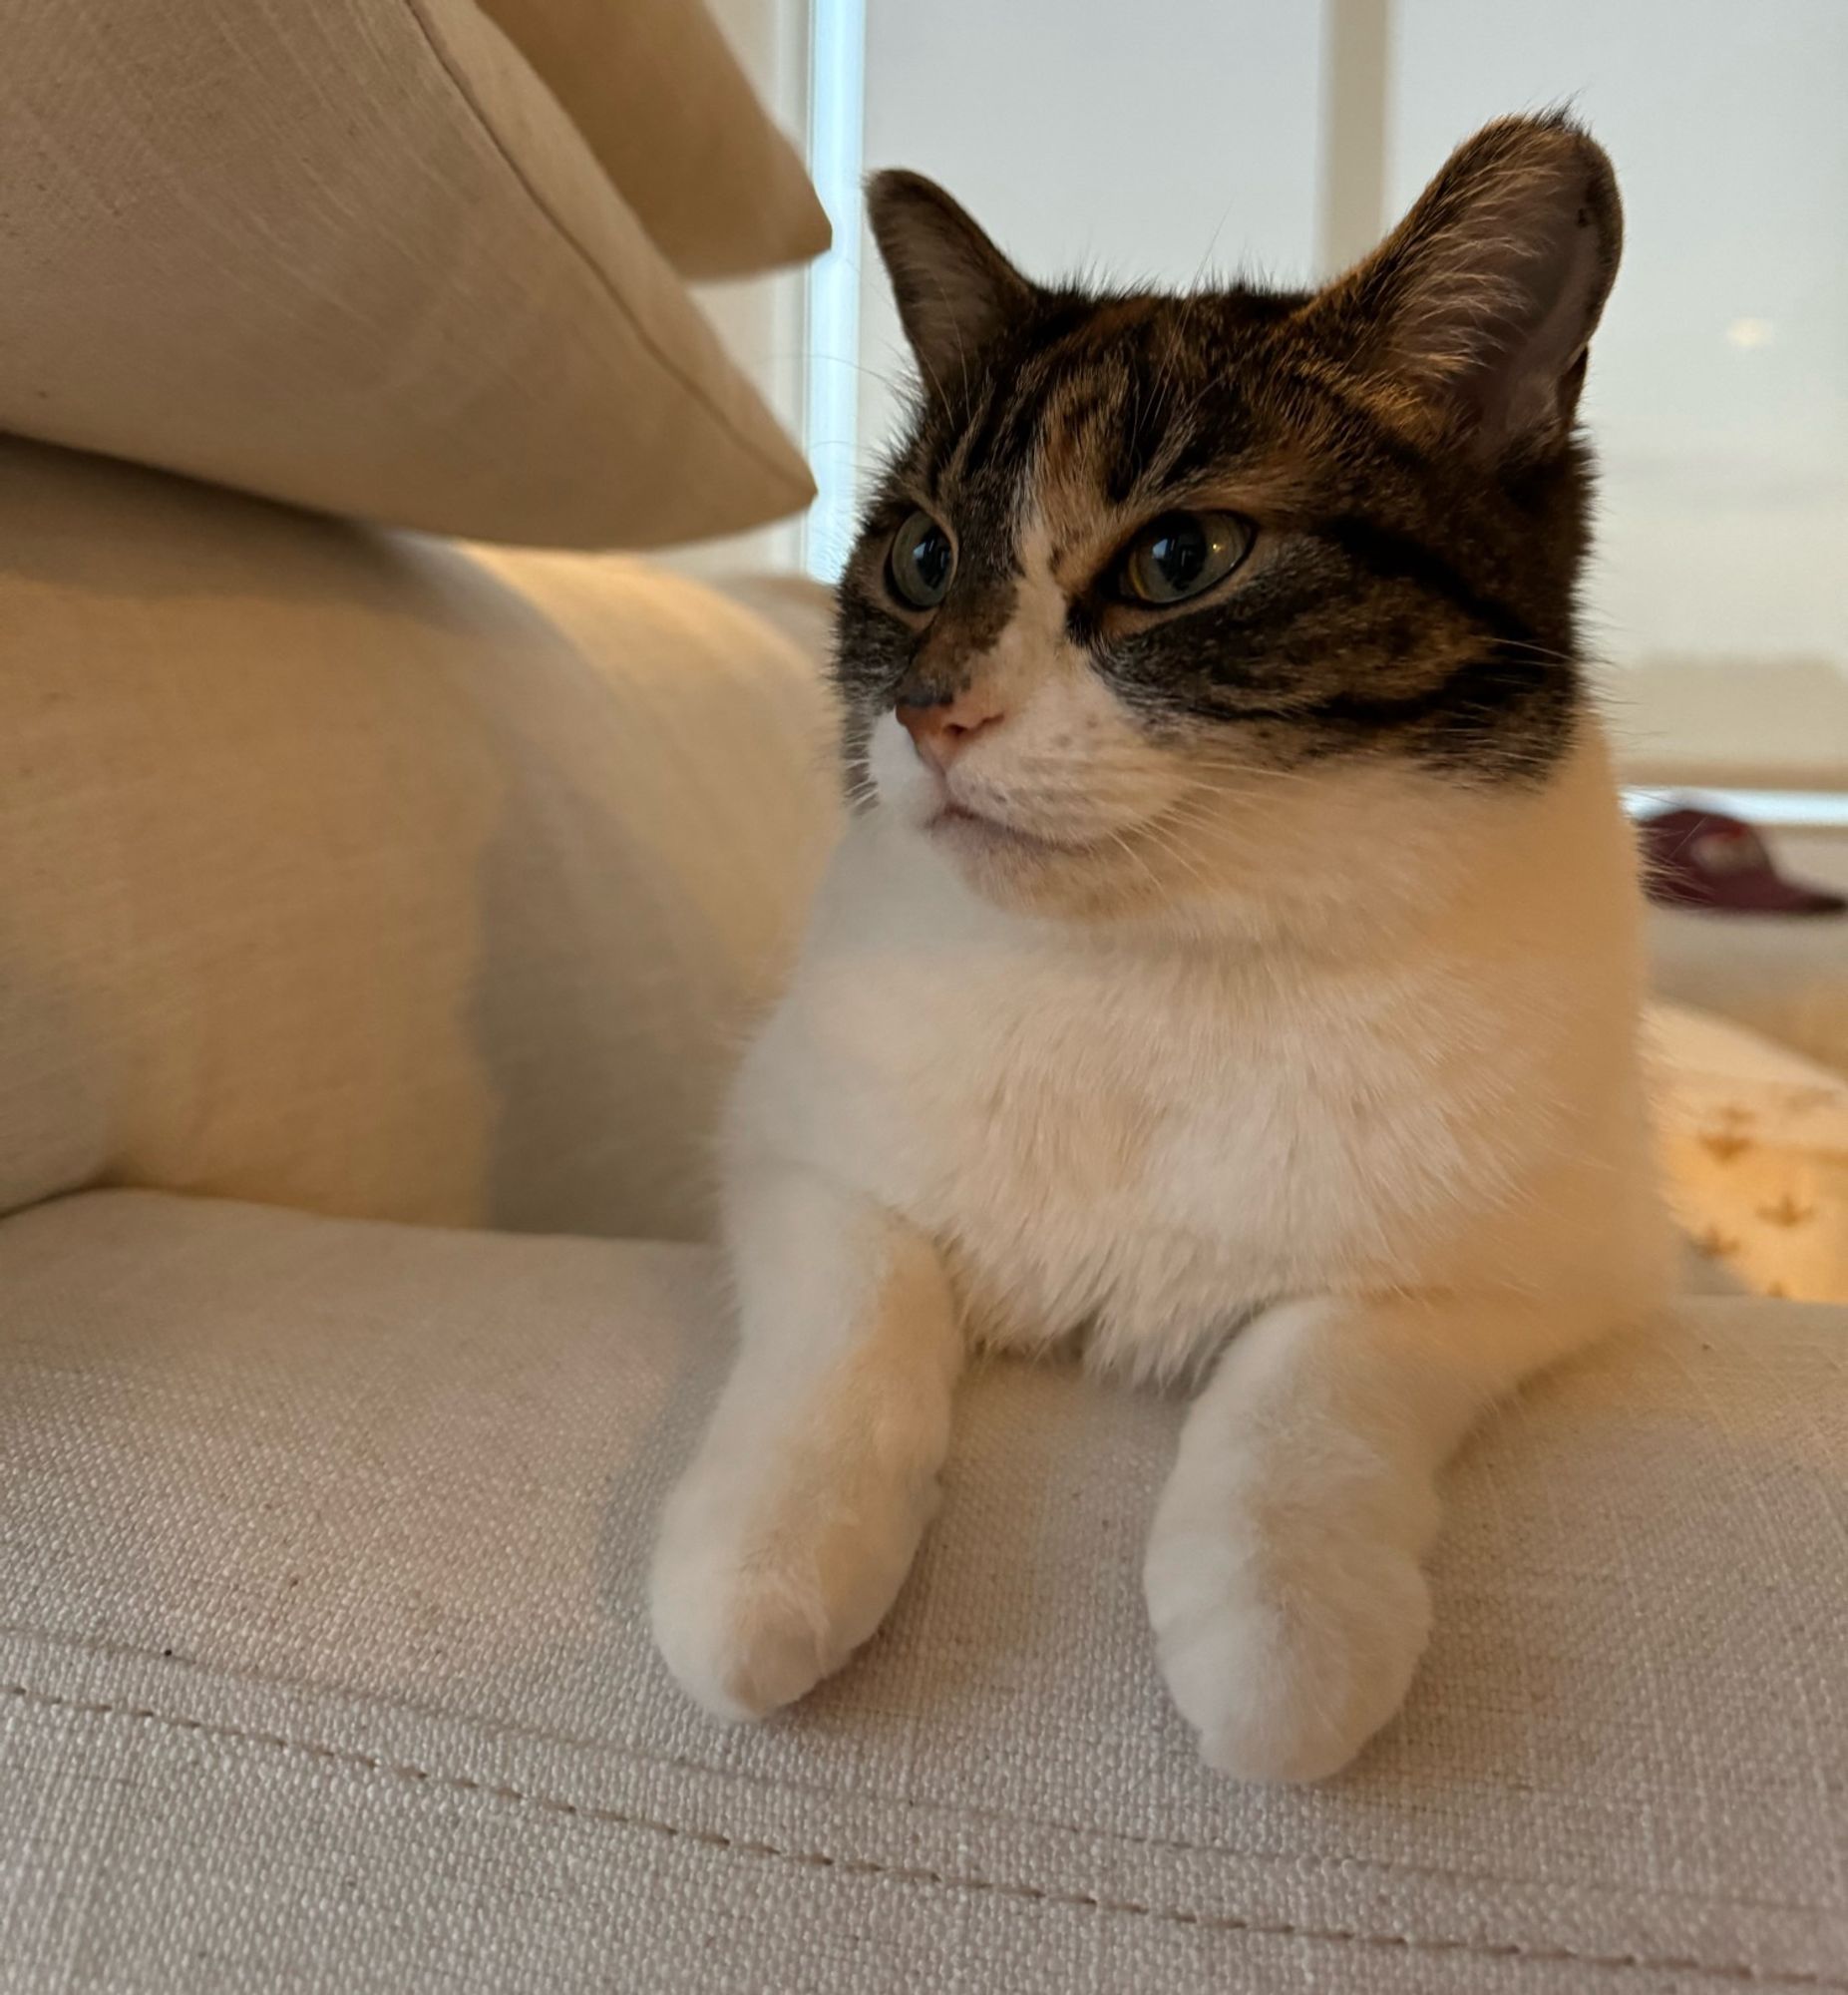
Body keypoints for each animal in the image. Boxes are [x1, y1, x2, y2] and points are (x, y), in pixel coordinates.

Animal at [650, 117, 1675, 1788]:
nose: (927, 711)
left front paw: (1282, 1632)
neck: (1154, 959)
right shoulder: (790, 1138)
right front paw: (762, 1565)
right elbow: (852, 1309)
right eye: (920, 558)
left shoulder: (1548, 1260)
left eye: (1182, 556)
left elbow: (1314, 1370)